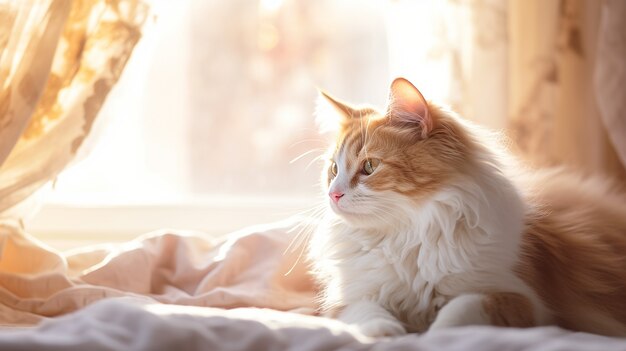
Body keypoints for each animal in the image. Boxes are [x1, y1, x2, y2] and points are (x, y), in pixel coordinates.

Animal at [306, 77, 624, 338]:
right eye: (334, 170)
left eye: (370, 166)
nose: (333, 194)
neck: (406, 235)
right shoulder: (349, 299)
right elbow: (368, 314)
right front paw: (385, 333)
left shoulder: (525, 299)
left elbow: (458, 310)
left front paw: (431, 336)